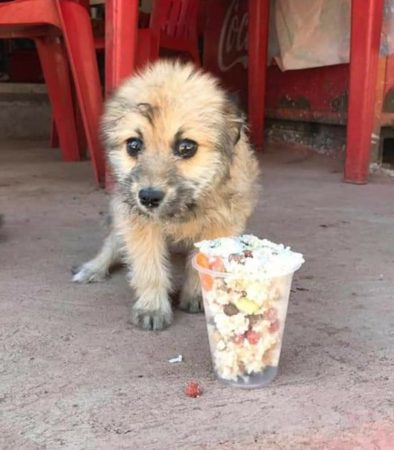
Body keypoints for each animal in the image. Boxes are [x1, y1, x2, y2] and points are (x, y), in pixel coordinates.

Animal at [72, 59, 260, 330]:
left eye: (187, 147)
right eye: (133, 145)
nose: (149, 198)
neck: (185, 206)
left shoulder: (222, 223)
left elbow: (202, 262)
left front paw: (197, 295)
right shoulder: (137, 222)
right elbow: (148, 267)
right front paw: (152, 307)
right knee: (112, 244)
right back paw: (94, 268)